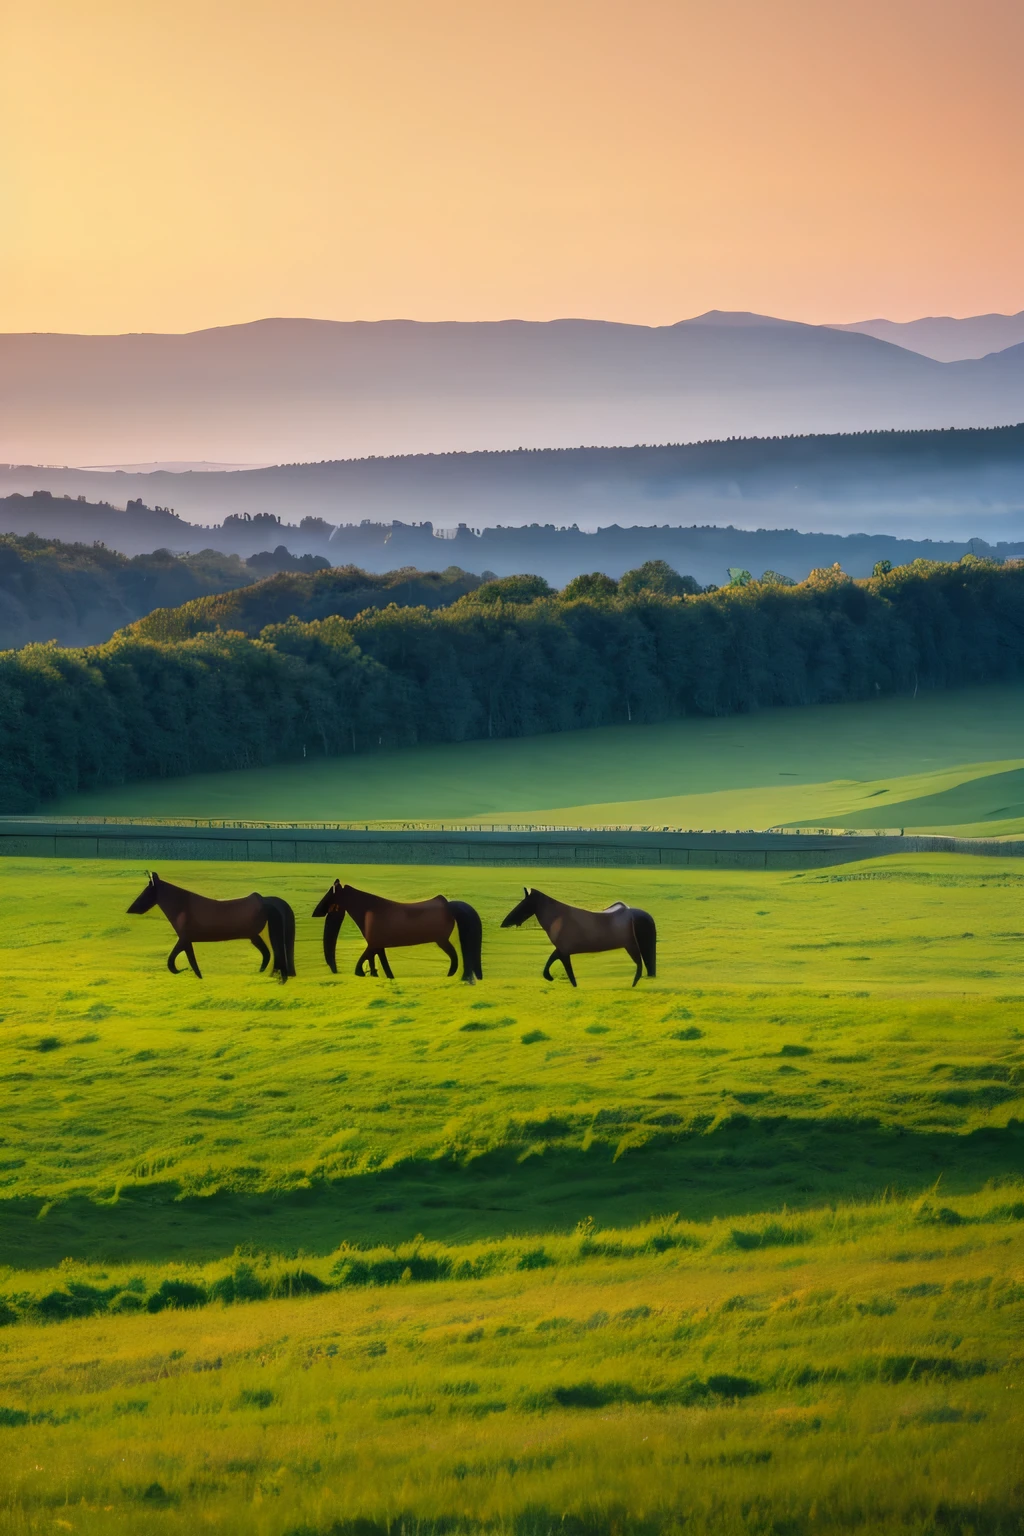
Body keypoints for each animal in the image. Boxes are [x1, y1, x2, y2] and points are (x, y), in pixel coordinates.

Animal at [128, 872, 296, 976]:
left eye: (146, 892)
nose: (130, 909)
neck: (182, 906)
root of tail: (262, 899)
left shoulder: (184, 939)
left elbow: (184, 960)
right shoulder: (185, 940)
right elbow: (178, 959)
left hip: (254, 935)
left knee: (269, 953)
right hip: (254, 936)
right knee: (267, 954)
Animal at [313, 878, 485, 983]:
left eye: (328, 895)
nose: (316, 913)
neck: (369, 909)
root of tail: (448, 905)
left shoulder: (374, 944)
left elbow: (366, 959)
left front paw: (363, 973)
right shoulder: (377, 945)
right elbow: (376, 960)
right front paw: (376, 974)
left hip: (441, 940)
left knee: (455, 956)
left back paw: (451, 975)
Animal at [503, 884, 657, 989]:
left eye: (523, 904)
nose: (505, 923)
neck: (558, 917)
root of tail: (633, 912)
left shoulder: (564, 952)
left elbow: (569, 973)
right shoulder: (561, 950)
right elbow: (550, 961)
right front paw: (549, 977)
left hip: (630, 945)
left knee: (639, 965)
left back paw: (633, 985)